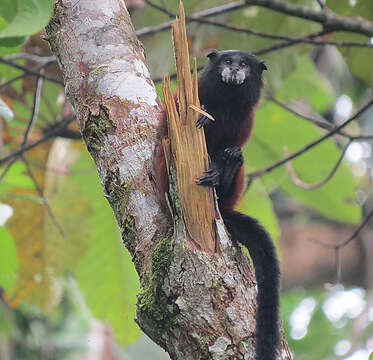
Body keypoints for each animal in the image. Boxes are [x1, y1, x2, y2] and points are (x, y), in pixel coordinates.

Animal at [153, 50, 280, 360]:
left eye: (244, 64)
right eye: (227, 61)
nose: (234, 69)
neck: (226, 101)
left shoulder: (246, 118)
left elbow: (234, 143)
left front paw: (225, 163)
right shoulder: (187, 94)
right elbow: (167, 125)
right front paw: (204, 116)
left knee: (236, 156)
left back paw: (228, 169)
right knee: (165, 149)